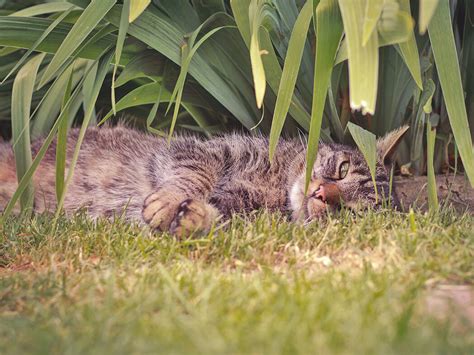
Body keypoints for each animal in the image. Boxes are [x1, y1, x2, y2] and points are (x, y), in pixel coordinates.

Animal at [0, 125, 408, 236]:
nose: (323, 193)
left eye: (351, 212)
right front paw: (168, 202)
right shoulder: (206, 151)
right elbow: (195, 175)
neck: (277, 187)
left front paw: (194, 217)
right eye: (343, 169)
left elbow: (219, 217)